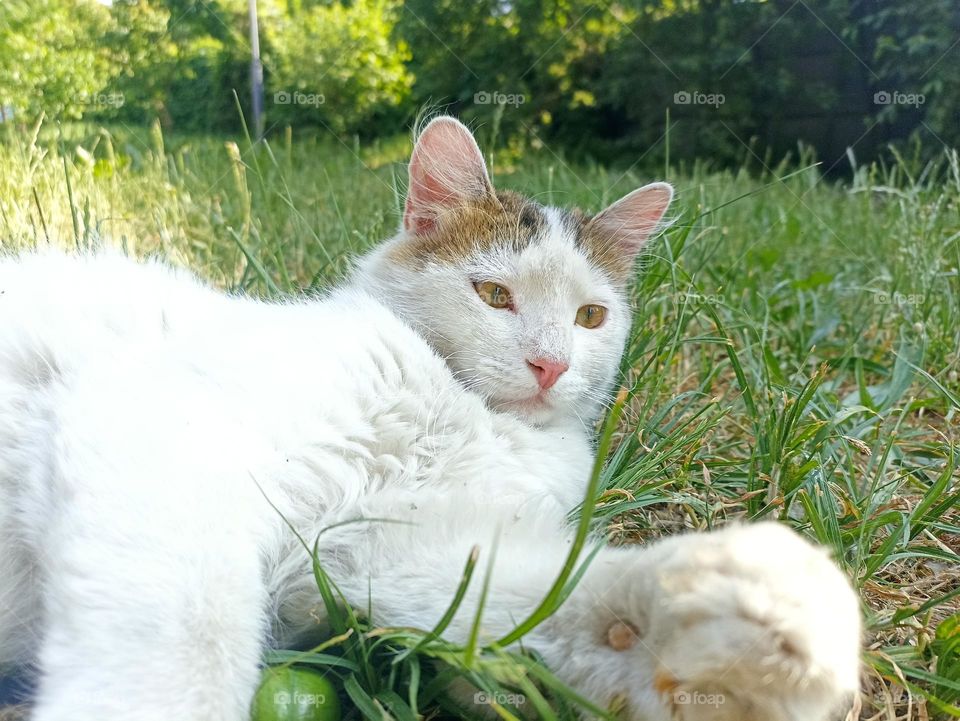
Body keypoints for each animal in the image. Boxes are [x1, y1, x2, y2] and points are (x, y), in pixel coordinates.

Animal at [0, 116, 860, 720]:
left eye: (590, 315)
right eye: (495, 295)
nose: (550, 364)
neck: (463, 411)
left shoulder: (398, 554)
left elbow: (560, 595)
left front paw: (754, 618)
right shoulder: (157, 418)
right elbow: (183, 634)